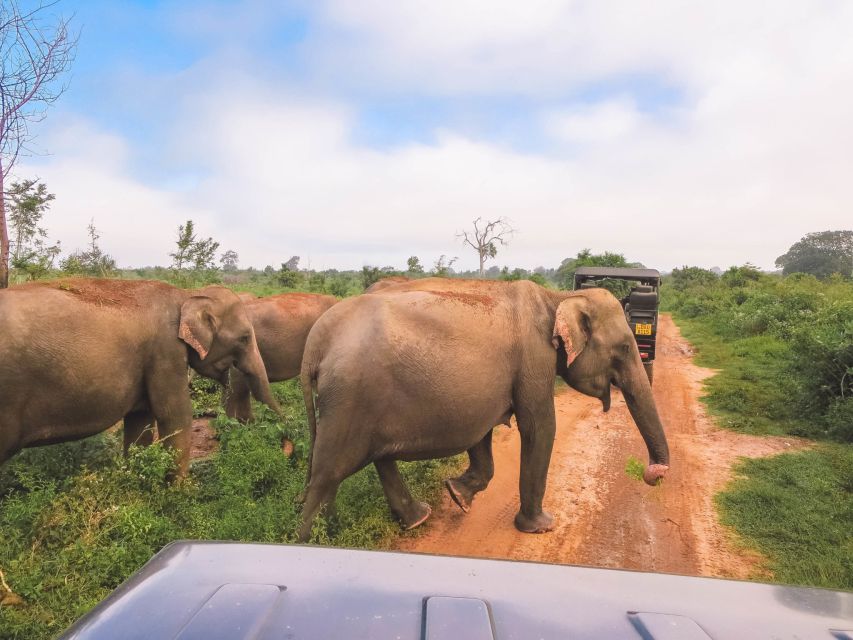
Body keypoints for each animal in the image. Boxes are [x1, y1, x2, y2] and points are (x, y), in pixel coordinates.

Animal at [0, 278, 280, 476]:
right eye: (245, 338)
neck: (187, 295)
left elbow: (140, 419)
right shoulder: (165, 351)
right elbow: (175, 416)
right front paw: (180, 496)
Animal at [296, 278, 668, 540]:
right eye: (624, 347)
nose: (653, 474)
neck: (557, 297)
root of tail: (315, 343)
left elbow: (482, 434)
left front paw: (458, 495)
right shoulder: (534, 359)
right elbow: (539, 427)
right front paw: (541, 527)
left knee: (375, 459)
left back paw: (413, 520)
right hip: (348, 397)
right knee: (326, 476)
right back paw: (311, 541)